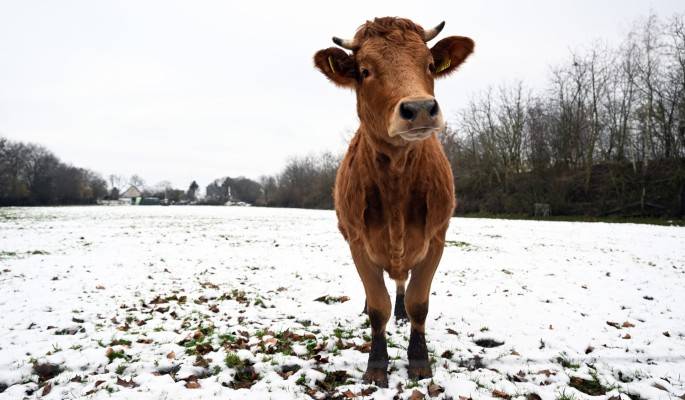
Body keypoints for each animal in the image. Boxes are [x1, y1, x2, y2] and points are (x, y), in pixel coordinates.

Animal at [312, 17, 472, 386]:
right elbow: (377, 306)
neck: (397, 182)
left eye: (429, 65)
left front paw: (419, 360)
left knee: (400, 284)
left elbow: (417, 303)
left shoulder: (436, 239)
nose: (420, 109)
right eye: (365, 71)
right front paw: (376, 364)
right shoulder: (358, 241)